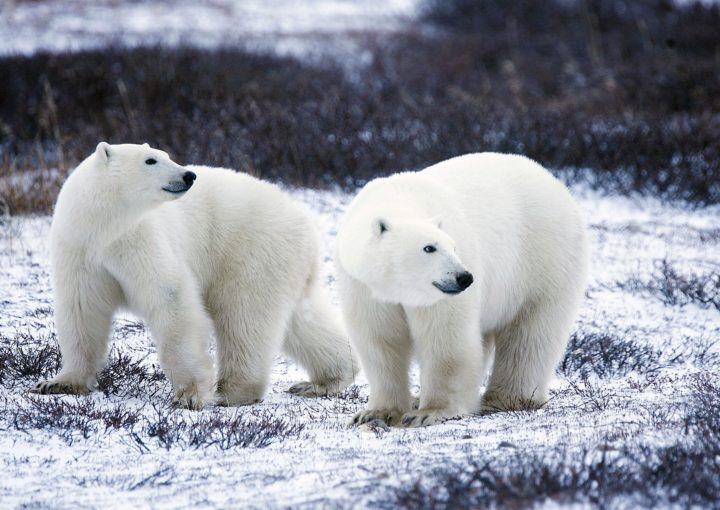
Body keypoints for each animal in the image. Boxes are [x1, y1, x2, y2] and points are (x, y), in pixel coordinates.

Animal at [31, 141, 358, 408]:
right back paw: (325, 380)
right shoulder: (79, 249)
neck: (103, 227)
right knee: (301, 320)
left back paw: (233, 391)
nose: (189, 175)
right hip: (285, 262)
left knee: (243, 315)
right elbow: (82, 310)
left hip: (251, 249)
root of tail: (304, 219)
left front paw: (189, 395)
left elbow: (171, 297)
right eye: (151, 160)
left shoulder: (139, 238)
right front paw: (58, 383)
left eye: (167, 155)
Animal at [334, 151, 588, 426]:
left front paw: (429, 412)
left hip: (543, 259)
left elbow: (446, 338)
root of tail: (554, 181)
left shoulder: (440, 295)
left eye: (453, 246)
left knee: (530, 333)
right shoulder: (364, 286)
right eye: (429, 247)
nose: (464, 278)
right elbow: (380, 340)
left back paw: (506, 399)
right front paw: (376, 413)